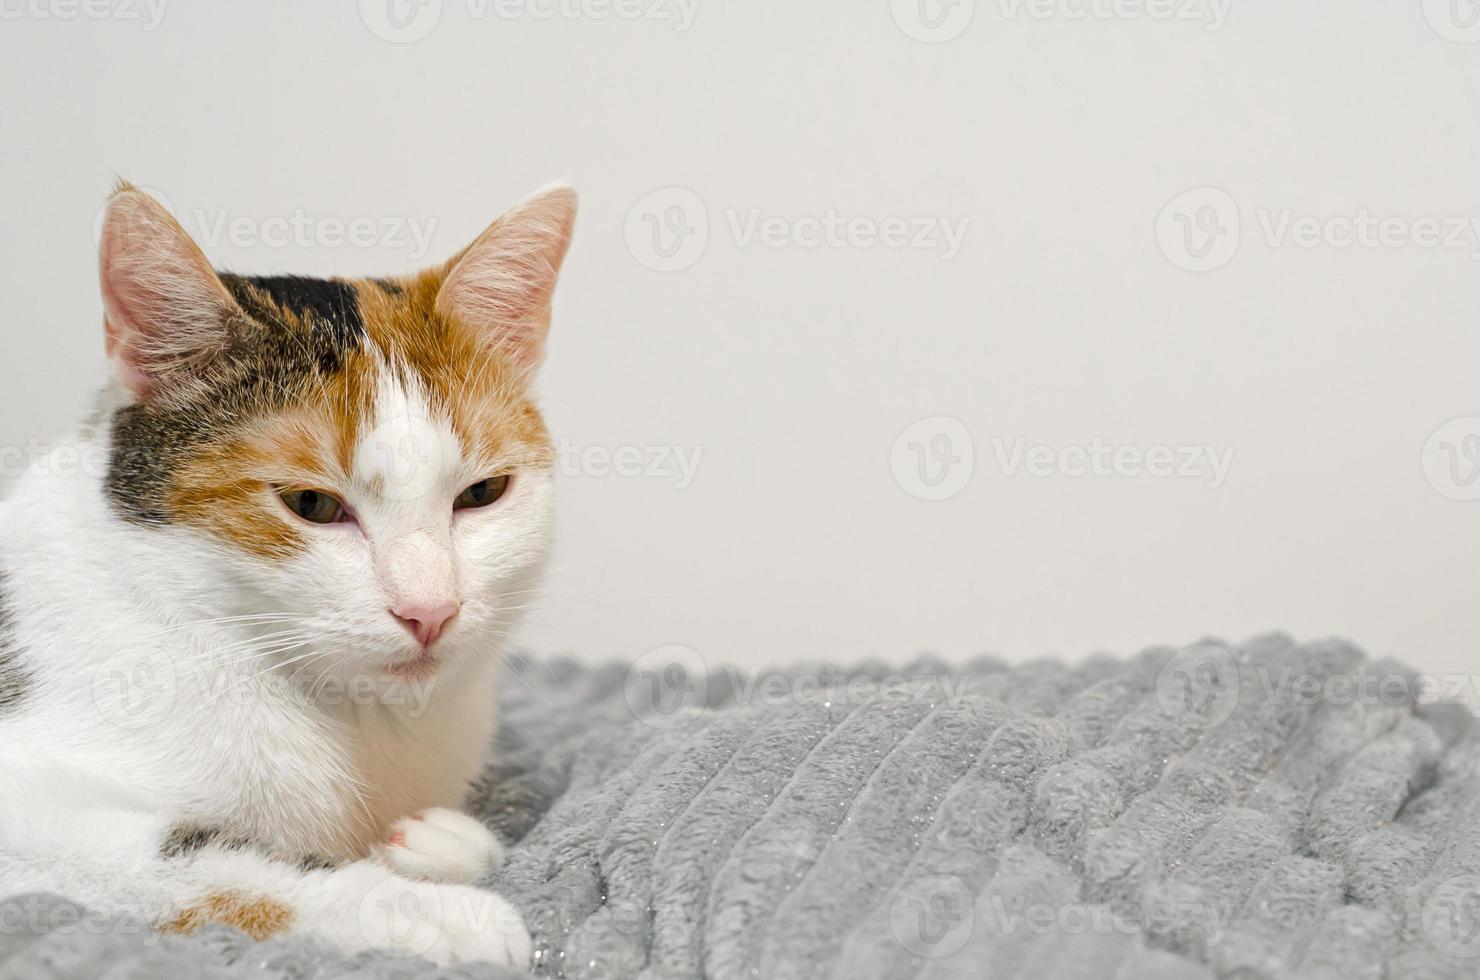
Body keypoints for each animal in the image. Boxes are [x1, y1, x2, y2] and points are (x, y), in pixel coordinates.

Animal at [0, 178, 577, 965]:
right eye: (311, 504)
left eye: (483, 493)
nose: (430, 610)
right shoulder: (34, 815)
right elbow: (212, 866)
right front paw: (430, 915)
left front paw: (439, 843)